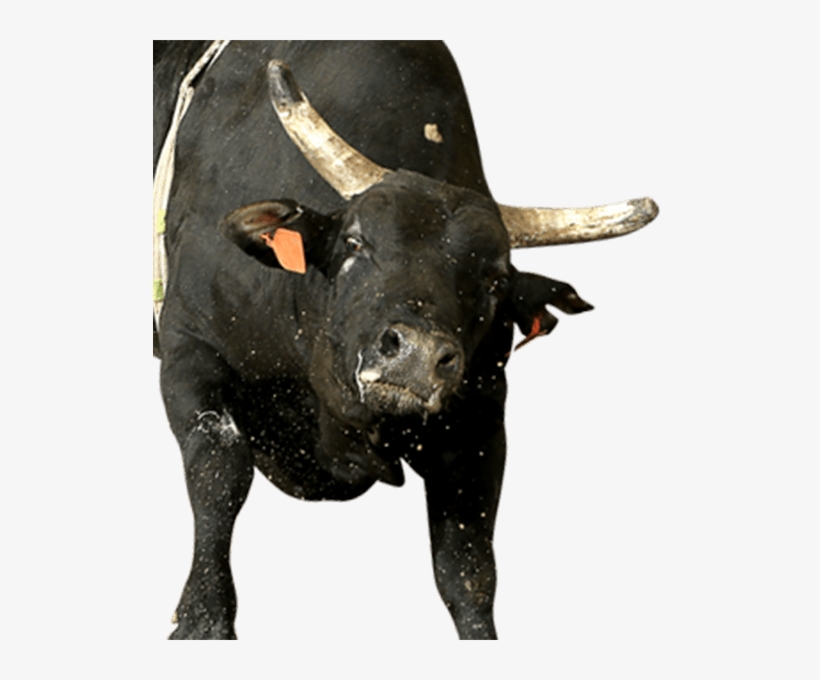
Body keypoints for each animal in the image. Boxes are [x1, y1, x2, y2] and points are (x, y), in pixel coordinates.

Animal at [153, 40, 658, 640]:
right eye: (355, 243)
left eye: (494, 280)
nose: (416, 356)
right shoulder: (188, 347)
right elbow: (219, 472)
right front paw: (203, 617)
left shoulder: (480, 420)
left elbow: (467, 565)